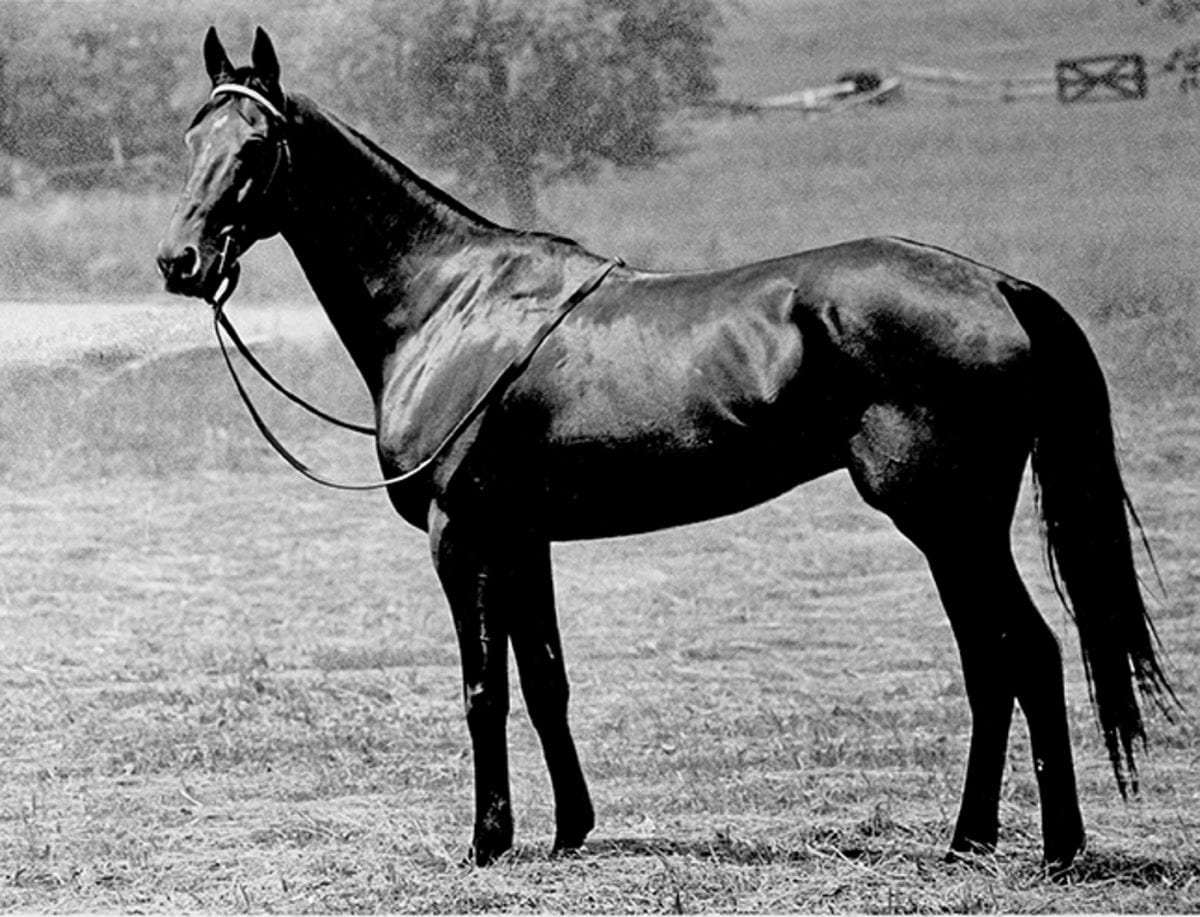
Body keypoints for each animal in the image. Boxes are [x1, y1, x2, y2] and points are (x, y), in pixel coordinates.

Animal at [157, 28, 1171, 868]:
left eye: (254, 147)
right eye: (190, 141)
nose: (180, 263)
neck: (451, 303)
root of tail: (997, 284)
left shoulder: (463, 537)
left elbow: (484, 688)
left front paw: (487, 842)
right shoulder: (522, 539)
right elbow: (546, 679)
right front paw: (569, 830)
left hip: (948, 519)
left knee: (1026, 652)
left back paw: (1054, 849)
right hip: (956, 528)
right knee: (990, 661)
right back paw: (969, 840)